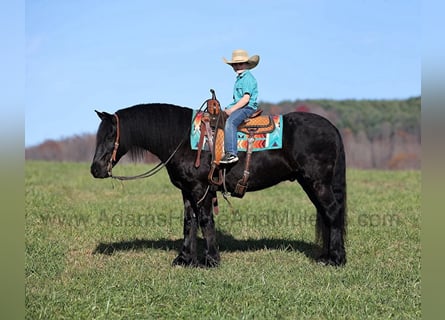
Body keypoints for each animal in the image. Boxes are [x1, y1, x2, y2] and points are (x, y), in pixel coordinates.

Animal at [91, 104, 346, 266]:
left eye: (110, 135)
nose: (95, 169)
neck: (186, 140)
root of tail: (332, 128)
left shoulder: (200, 189)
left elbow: (205, 221)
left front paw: (211, 260)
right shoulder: (187, 190)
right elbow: (189, 222)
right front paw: (184, 259)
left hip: (317, 182)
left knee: (333, 212)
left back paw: (336, 259)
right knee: (326, 215)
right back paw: (326, 256)